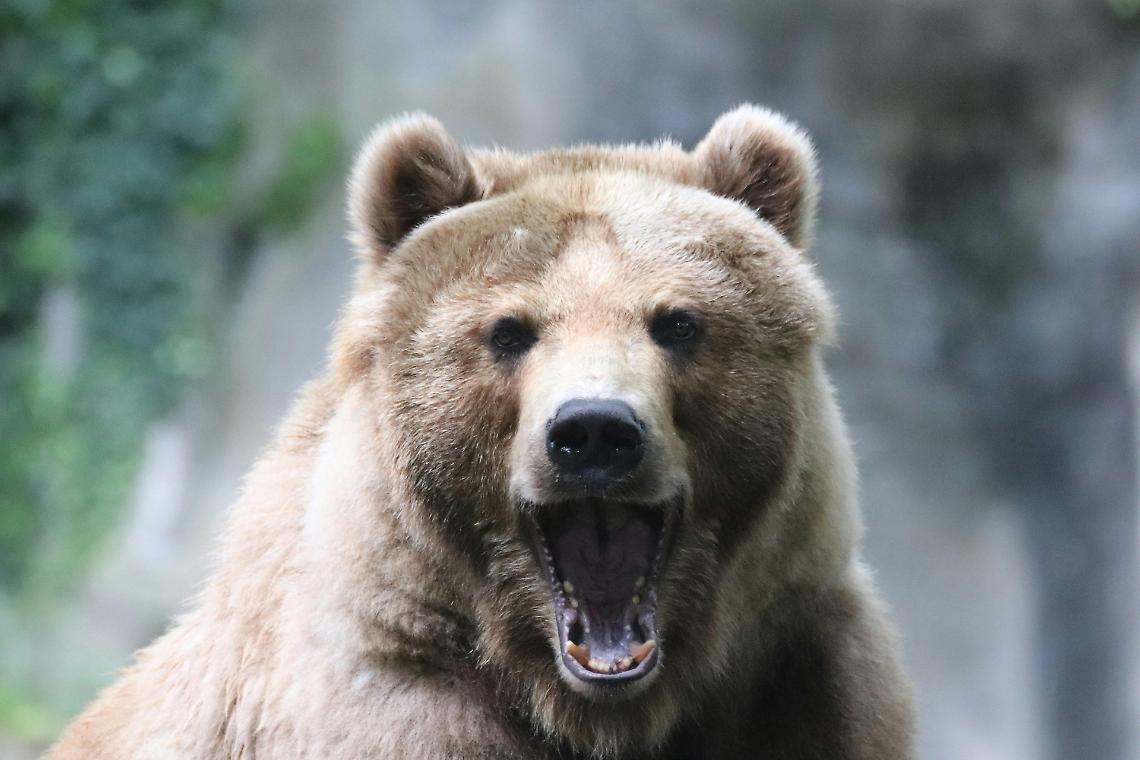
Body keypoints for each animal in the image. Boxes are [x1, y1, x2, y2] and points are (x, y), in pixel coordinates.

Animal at [48, 105, 915, 759]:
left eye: (678, 322)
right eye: (509, 331)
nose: (594, 432)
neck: (598, 708)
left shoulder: (800, 682)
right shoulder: (399, 702)